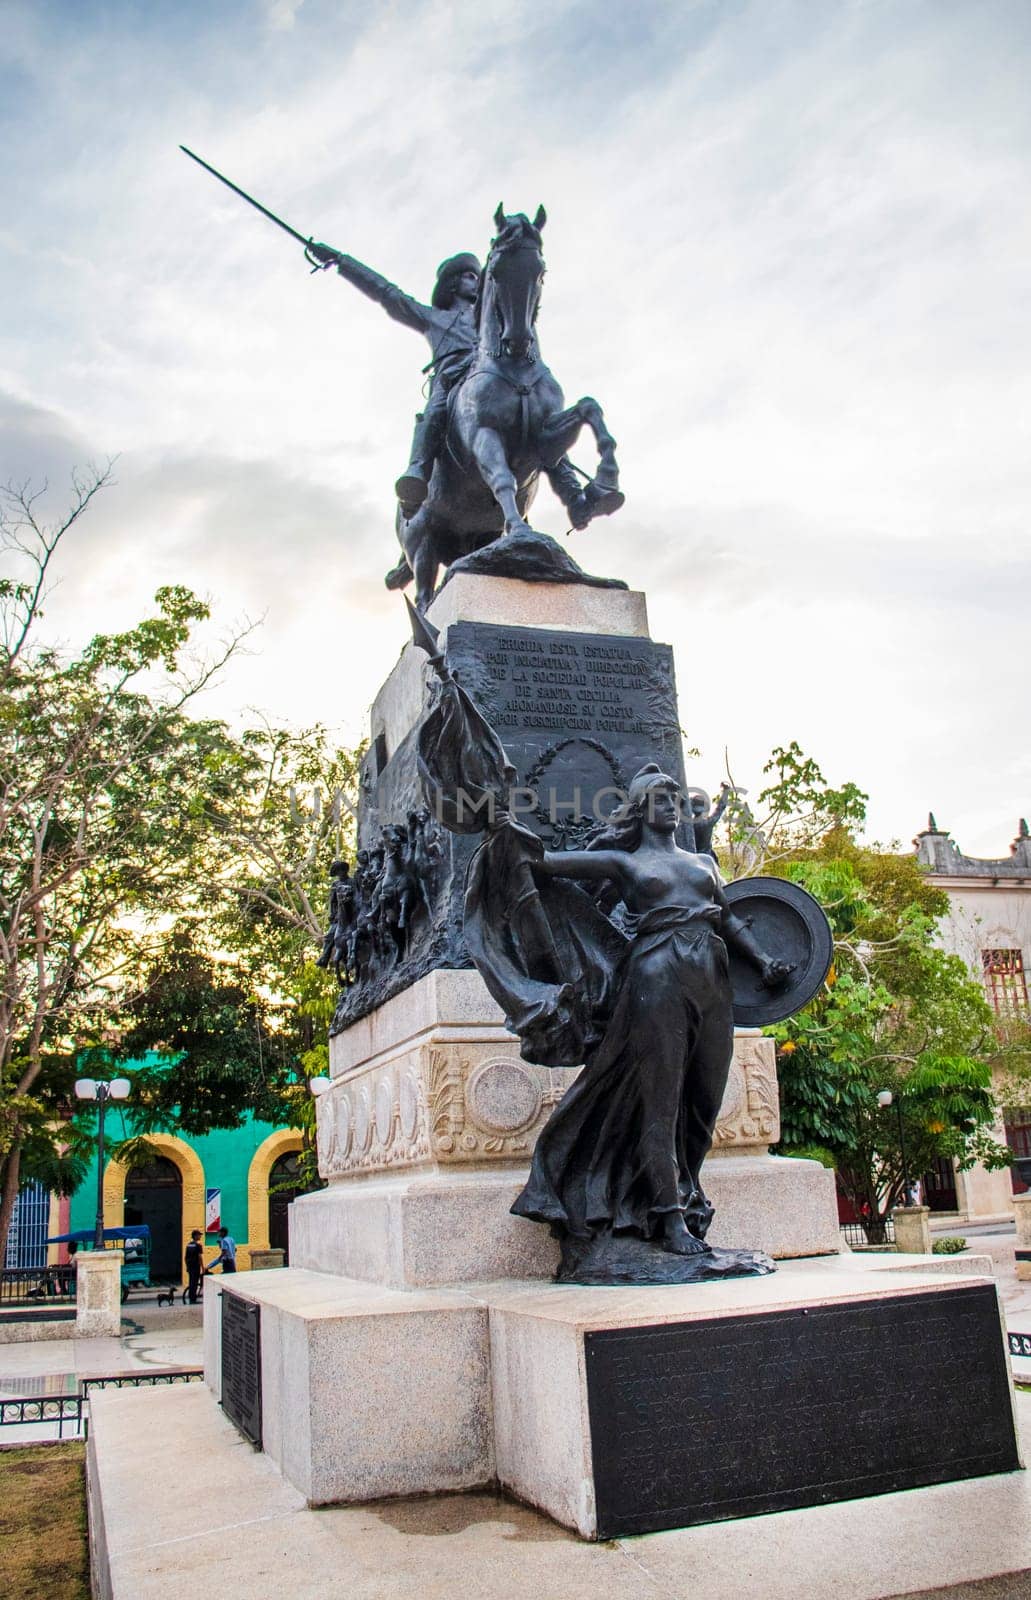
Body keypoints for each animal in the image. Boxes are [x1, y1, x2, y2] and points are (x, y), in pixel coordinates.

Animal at [392, 209, 621, 608]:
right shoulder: (485, 435)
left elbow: (590, 409)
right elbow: (502, 479)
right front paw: (520, 532)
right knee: (423, 596)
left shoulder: (543, 440)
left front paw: (605, 482)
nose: (516, 339)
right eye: (496, 272)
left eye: (540, 271)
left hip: (472, 535)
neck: (514, 368)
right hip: (422, 542)